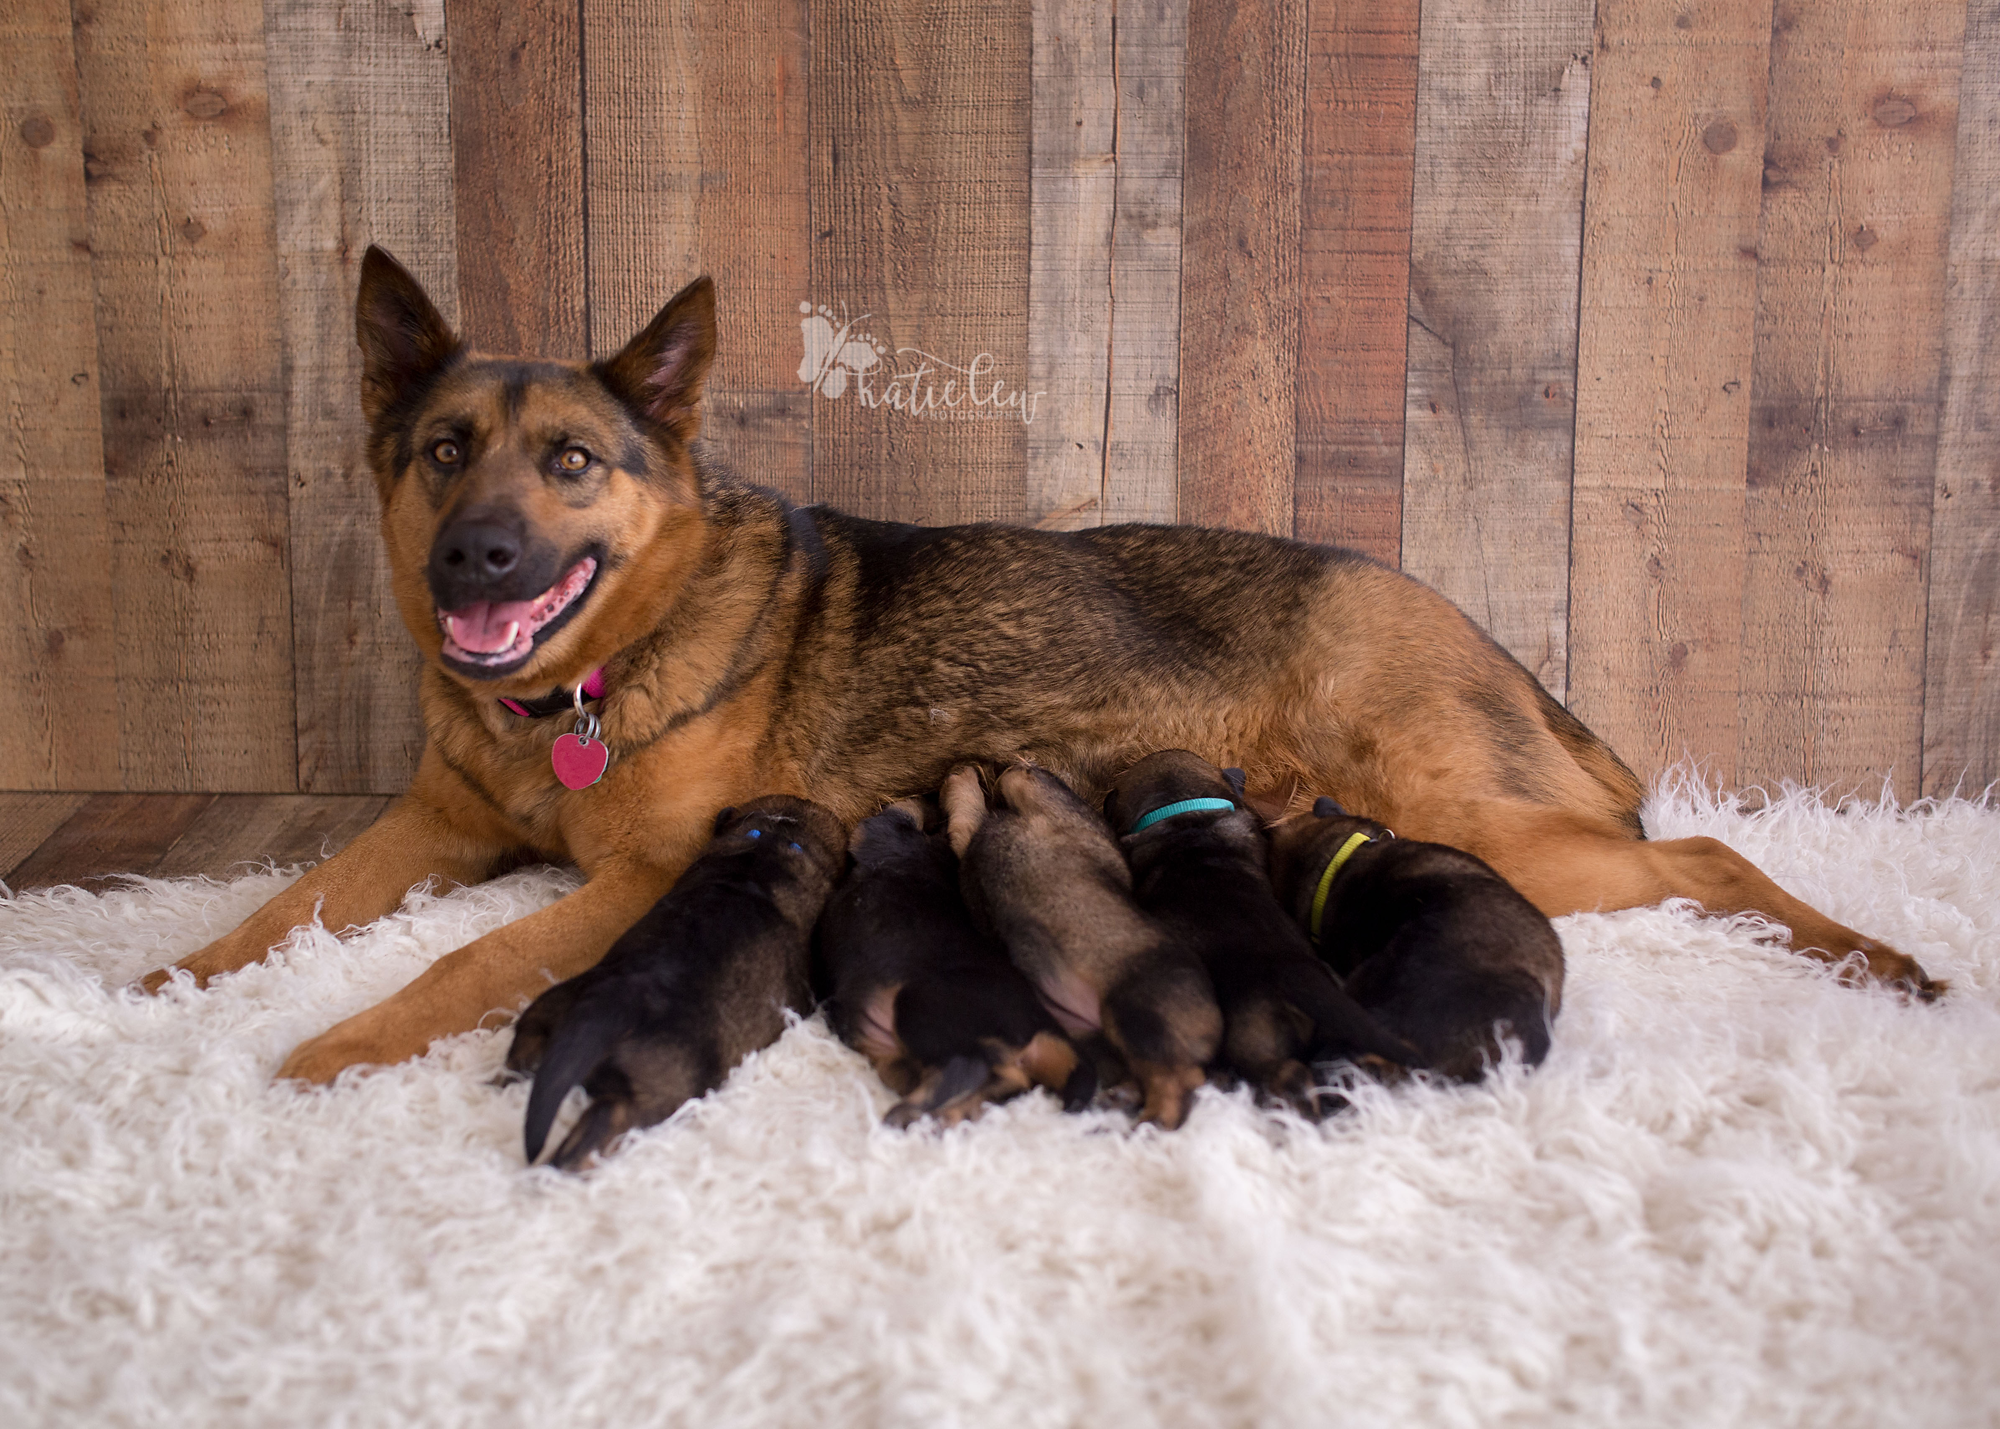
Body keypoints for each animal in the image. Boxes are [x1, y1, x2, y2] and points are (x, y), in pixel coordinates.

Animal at [508, 796, 844, 1160]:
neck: (768, 842)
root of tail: (609, 1005)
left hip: (549, 1007)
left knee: (523, 1050)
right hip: (657, 1088)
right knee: (598, 1131)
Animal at [816, 796, 1096, 1120]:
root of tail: (1041, 1028)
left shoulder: (884, 831)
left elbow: (904, 810)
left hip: (922, 1007)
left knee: (969, 1066)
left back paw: (900, 1115)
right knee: (999, 1082)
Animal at [940, 756, 1216, 1120]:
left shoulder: (1054, 809)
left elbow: (1012, 792)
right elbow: (969, 819)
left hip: (1137, 1017)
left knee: (1180, 1083)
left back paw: (1145, 1121)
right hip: (1093, 1042)